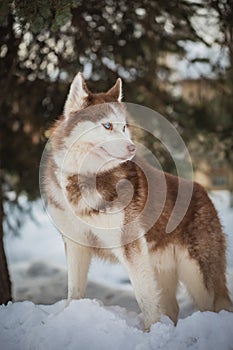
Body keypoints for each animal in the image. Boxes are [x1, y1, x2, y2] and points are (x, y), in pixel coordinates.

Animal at [42, 72, 232, 330]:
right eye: (107, 125)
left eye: (124, 127)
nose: (132, 148)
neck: (87, 179)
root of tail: (203, 192)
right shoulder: (75, 244)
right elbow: (73, 291)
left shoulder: (131, 248)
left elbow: (145, 298)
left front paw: (151, 332)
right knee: (172, 307)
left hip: (198, 277)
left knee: (216, 305)